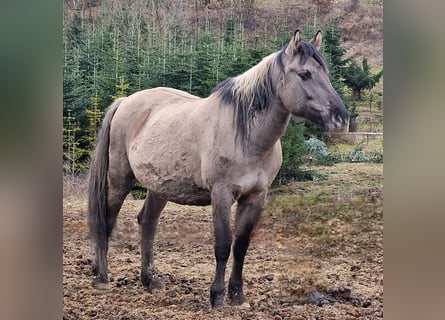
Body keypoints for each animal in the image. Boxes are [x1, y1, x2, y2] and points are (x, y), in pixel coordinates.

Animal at [88, 29, 348, 308]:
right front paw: (218, 296)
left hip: (159, 186)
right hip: (119, 178)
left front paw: (238, 296)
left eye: (327, 74)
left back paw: (150, 280)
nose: (341, 119)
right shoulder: (221, 194)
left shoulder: (255, 197)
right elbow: (223, 245)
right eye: (305, 74)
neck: (245, 134)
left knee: (147, 223)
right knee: (107, 221)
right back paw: (102, 278)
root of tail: (126, 100)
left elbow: (241, 246)